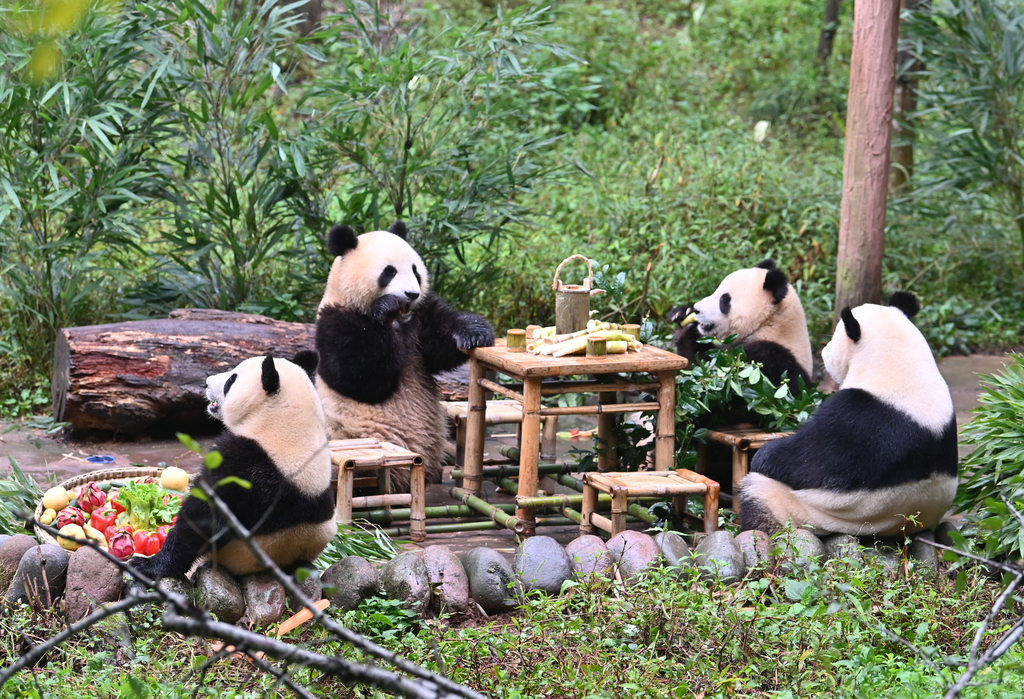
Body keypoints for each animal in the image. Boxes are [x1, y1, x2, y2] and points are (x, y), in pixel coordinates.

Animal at [128, 350, 335, 581]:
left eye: (231, 380)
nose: (206, 383)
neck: (284, 421)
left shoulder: (246, 468)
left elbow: (204, 519)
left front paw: (149, 565)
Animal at [315, 221, 495, 489]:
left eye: (415, 270)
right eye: (388, 272)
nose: (411, 294)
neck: (401, 319)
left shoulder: (421, 317)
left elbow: (441, 342)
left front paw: (475, 333)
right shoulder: (335, 322)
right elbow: (362, 378)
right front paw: (385, 308)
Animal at [741, 290, 954, 536]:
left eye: (834, 338)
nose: (824, 353)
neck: (900, 364)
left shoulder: (856, 420)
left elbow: (806, 460)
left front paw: (762, 455)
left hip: (799, 509)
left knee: (758, 495)